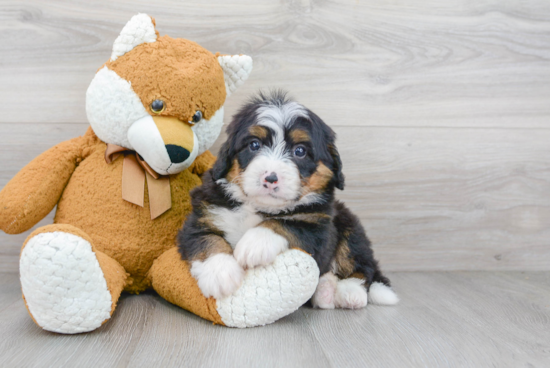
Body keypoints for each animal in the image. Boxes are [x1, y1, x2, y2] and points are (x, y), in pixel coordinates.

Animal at [179, 91, 398, 308]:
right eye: (254, 145)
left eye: (299, 151)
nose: (270, 178)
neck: (259, 207)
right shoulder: (201, 216)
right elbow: (207, 240)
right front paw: (220, 274)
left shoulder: (318, 229)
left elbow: (285, 223)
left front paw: (254, 244)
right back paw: (325, 290)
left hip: (350, 227)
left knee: (361, 266)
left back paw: (348, 292)